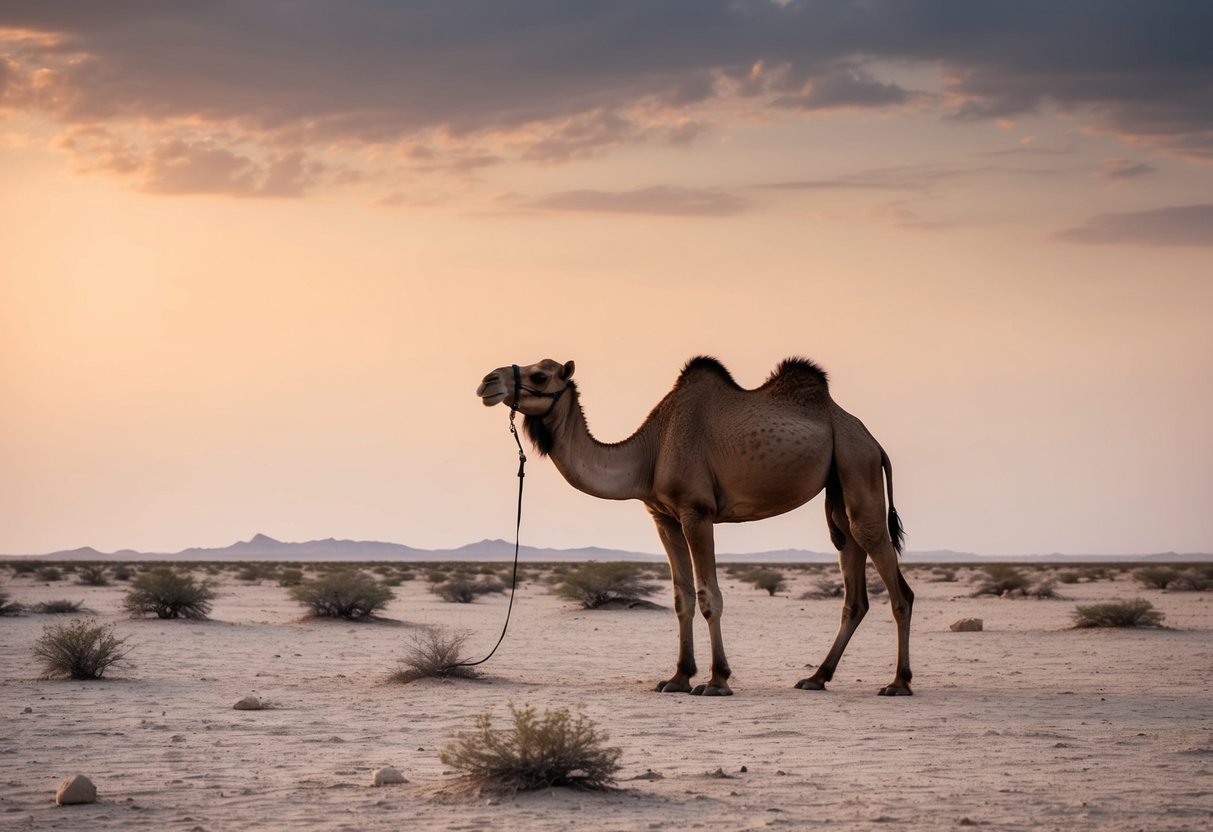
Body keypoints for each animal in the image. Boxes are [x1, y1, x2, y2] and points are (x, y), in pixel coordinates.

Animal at [476, 356, 913, 696]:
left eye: (539, 375)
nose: (488, 381)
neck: (649, 452)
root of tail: (873, 440)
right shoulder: (663, 517)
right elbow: (681, 597)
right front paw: (678, 678)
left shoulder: (696, 512)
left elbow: (708, 596)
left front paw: (717, 680)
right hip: (840, 487)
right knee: (853, 578)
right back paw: (816, 677)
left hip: (857, 464)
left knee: (895, 582)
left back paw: (898, 682)